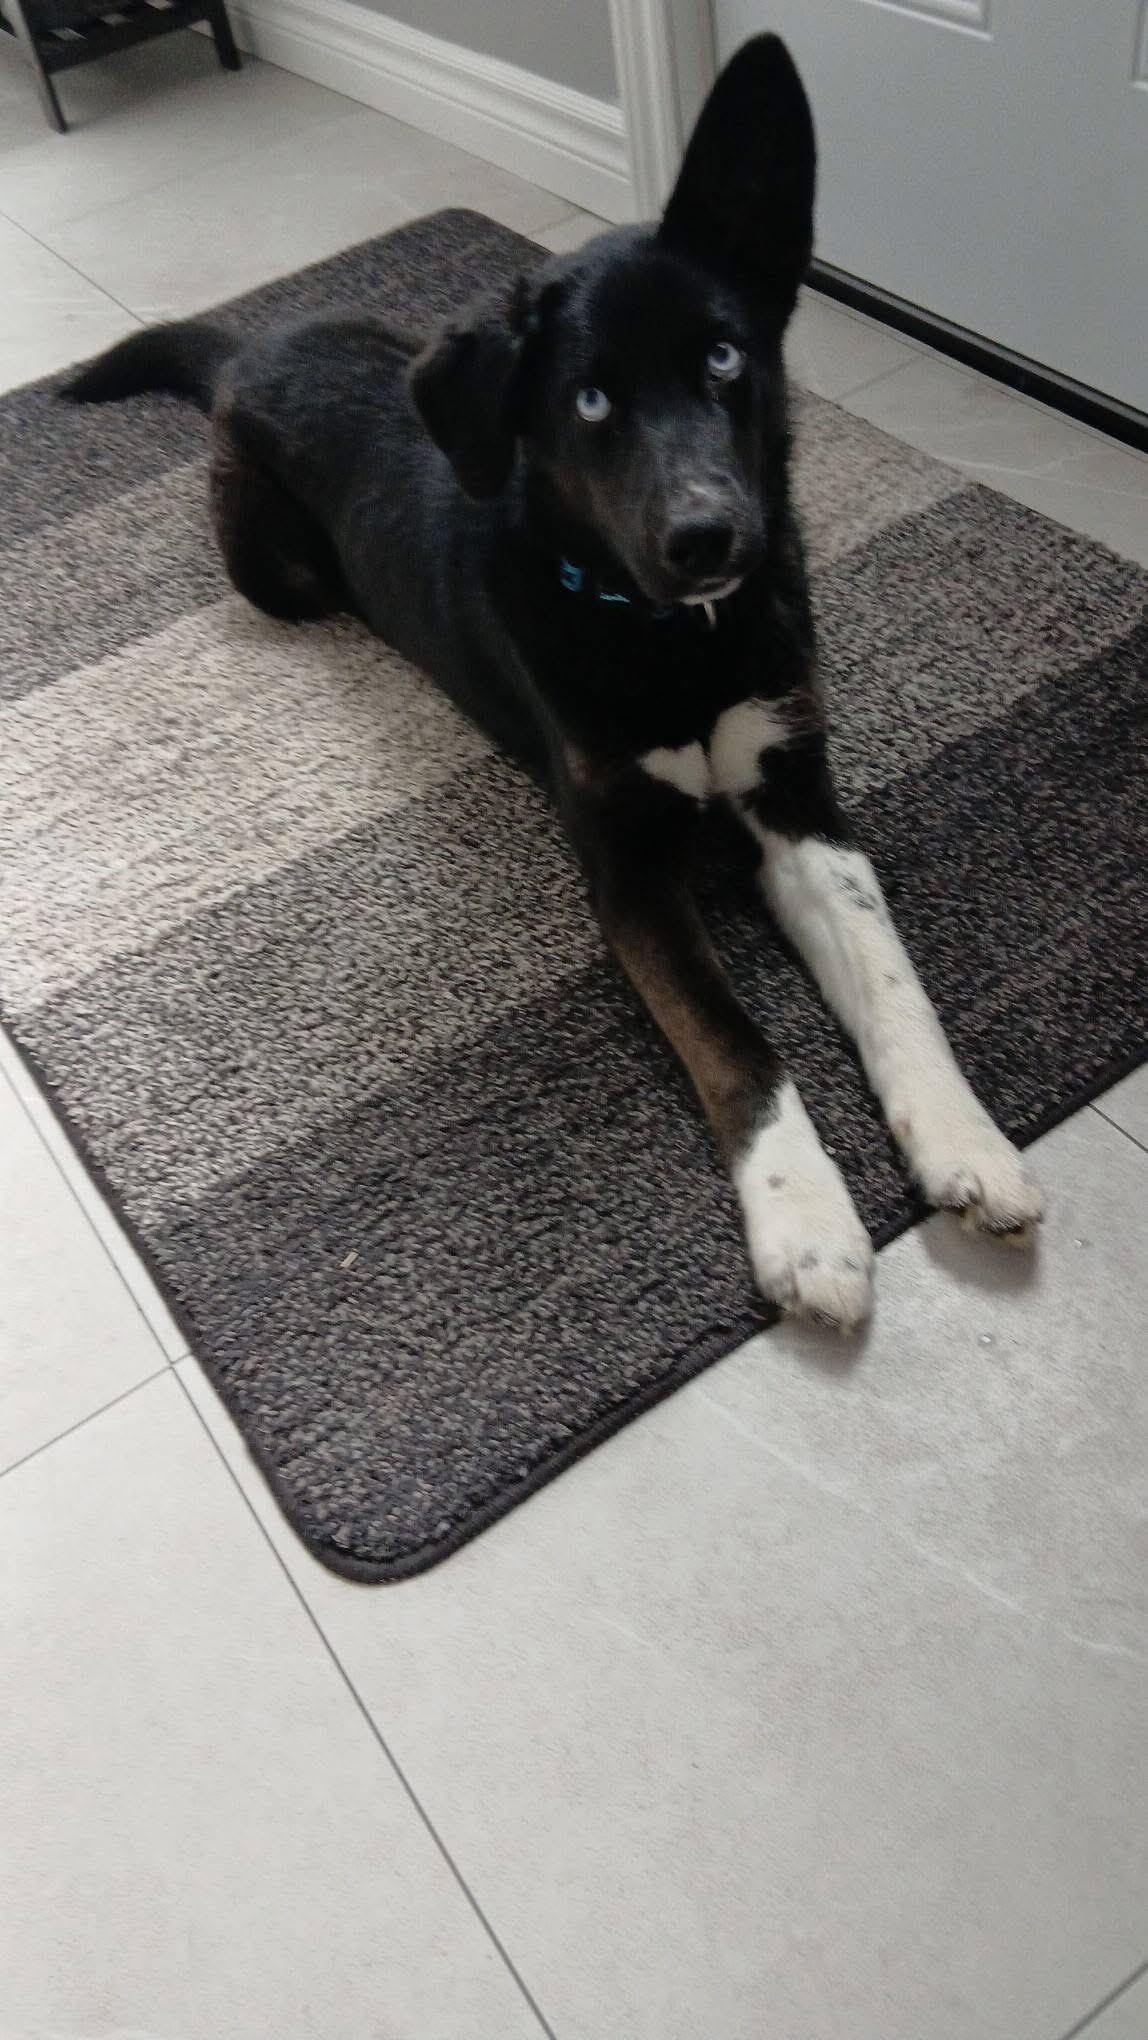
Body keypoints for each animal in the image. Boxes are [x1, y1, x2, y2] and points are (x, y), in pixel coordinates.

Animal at [64, 33, 1041, 1330]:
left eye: (723, 356)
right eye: (588, 400)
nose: (708, 537)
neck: (674, 637)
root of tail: (248, 344)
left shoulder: (795, 796)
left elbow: (892, 981)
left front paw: (965, 1140)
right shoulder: (625, 871)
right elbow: (735, 1041)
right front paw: (806, 1224)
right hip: (282, 572)